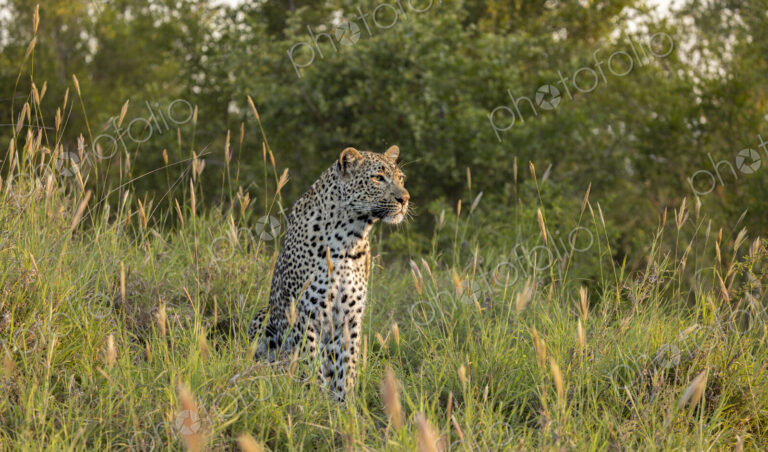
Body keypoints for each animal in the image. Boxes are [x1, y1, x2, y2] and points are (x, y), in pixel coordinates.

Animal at [248, 145, 409, 401]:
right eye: (377, 178)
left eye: (401, 178)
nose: (405, 198)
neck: (349, 240)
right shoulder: (304, 314)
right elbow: (311, 362)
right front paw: (313, 401)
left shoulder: (350, 318)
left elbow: (347, 367)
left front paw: (346, 406)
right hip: (264, 317)